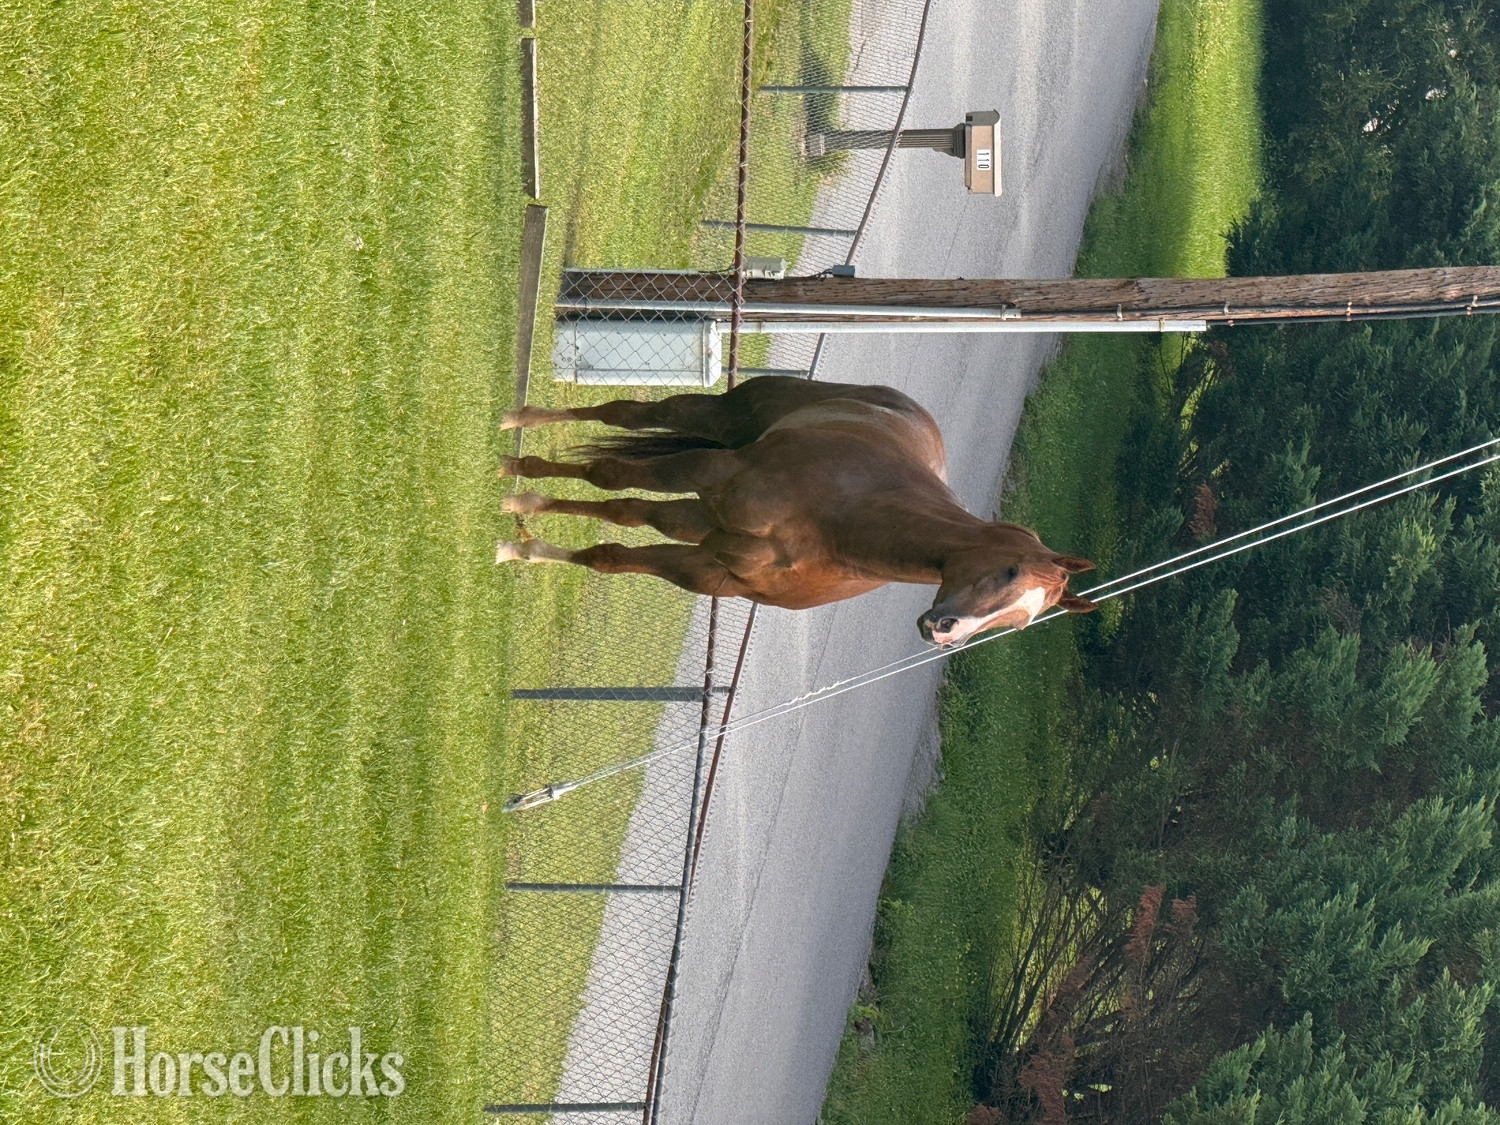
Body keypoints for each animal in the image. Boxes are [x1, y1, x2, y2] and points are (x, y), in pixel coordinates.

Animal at [496, 376, 1097, 646]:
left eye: (1020, 622)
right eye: (1010, 570)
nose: (945, 631)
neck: (840, 528)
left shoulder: (708, 570)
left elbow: (610, 553)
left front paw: (522, 545)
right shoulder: (705, 472)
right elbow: (607, 477)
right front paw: (515, 496)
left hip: (703, 521)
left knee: (633, 514)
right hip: (715, 426)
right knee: (621, 418)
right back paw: (517, 427)